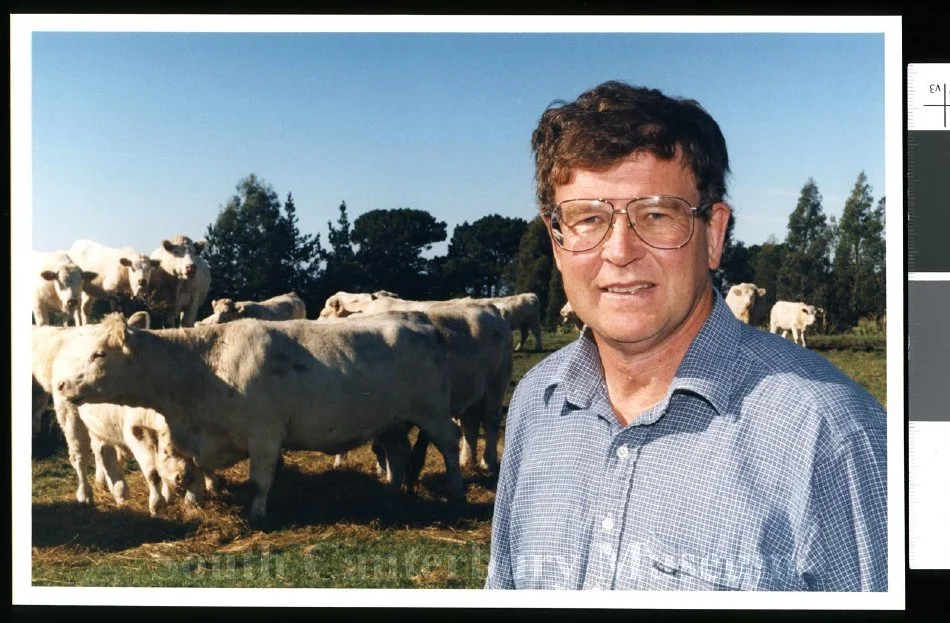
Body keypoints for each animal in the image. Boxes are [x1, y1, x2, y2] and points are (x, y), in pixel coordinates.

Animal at [53, 312, 466, 526]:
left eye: (99, 353)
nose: (61, 383)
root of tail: (419, 321)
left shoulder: (265, 435)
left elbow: (259, 480)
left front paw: (257, 513)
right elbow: (193, 471)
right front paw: (192, 503)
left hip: (432, 411)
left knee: (449, 442)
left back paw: (457, 492)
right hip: (392, 420)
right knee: (398, 452)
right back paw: (390, 493)